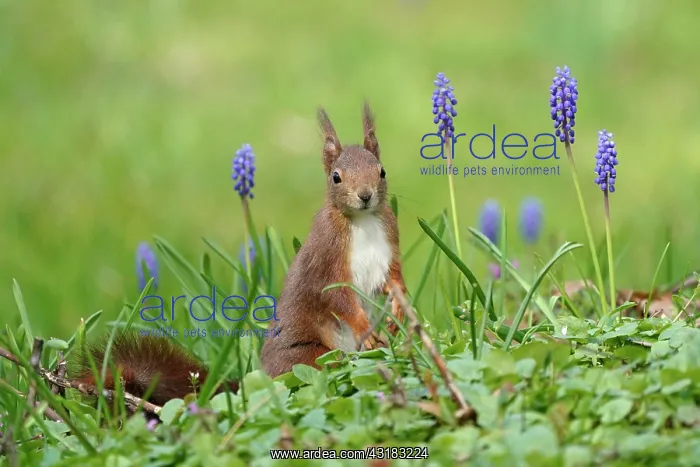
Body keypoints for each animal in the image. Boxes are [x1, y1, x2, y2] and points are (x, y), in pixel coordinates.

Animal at [72, 102, 407, 407]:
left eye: (382, 171)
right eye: (336, 177)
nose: (365, 196)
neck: (362, 221)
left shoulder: (389, 242)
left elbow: (394, 279)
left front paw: (399, 311)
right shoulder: (326, 258)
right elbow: (335, 296)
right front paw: (365, 326)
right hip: (311, 356)